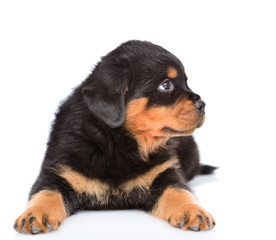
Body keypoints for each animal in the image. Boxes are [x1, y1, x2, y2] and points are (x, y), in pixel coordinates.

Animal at [14, 40, 216, 233]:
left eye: (186, 82)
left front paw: (193, 211)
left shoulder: (164, 172)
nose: (203, 105)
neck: (117, 142)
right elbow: (45, 194)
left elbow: (179, 192)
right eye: (165, 85)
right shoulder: (59, 171)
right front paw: (35, 215)